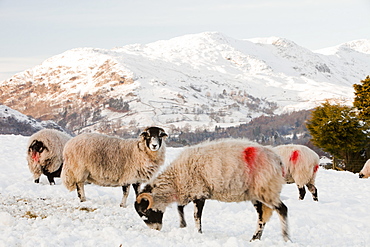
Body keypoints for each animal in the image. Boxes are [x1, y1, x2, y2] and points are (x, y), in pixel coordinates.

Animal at [134, 138, 290, 242]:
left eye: (145, 212)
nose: (155, 229)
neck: (176, 179)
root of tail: (278, 160)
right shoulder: (190, 191)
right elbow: (180, 208)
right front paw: (183, 226)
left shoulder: (199, 193)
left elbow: (196, 216)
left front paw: (198, 232)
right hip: (257, 195)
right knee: (262, 217)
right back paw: (254, 239)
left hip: (267, 189)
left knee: (282, 209)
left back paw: (285, 237)